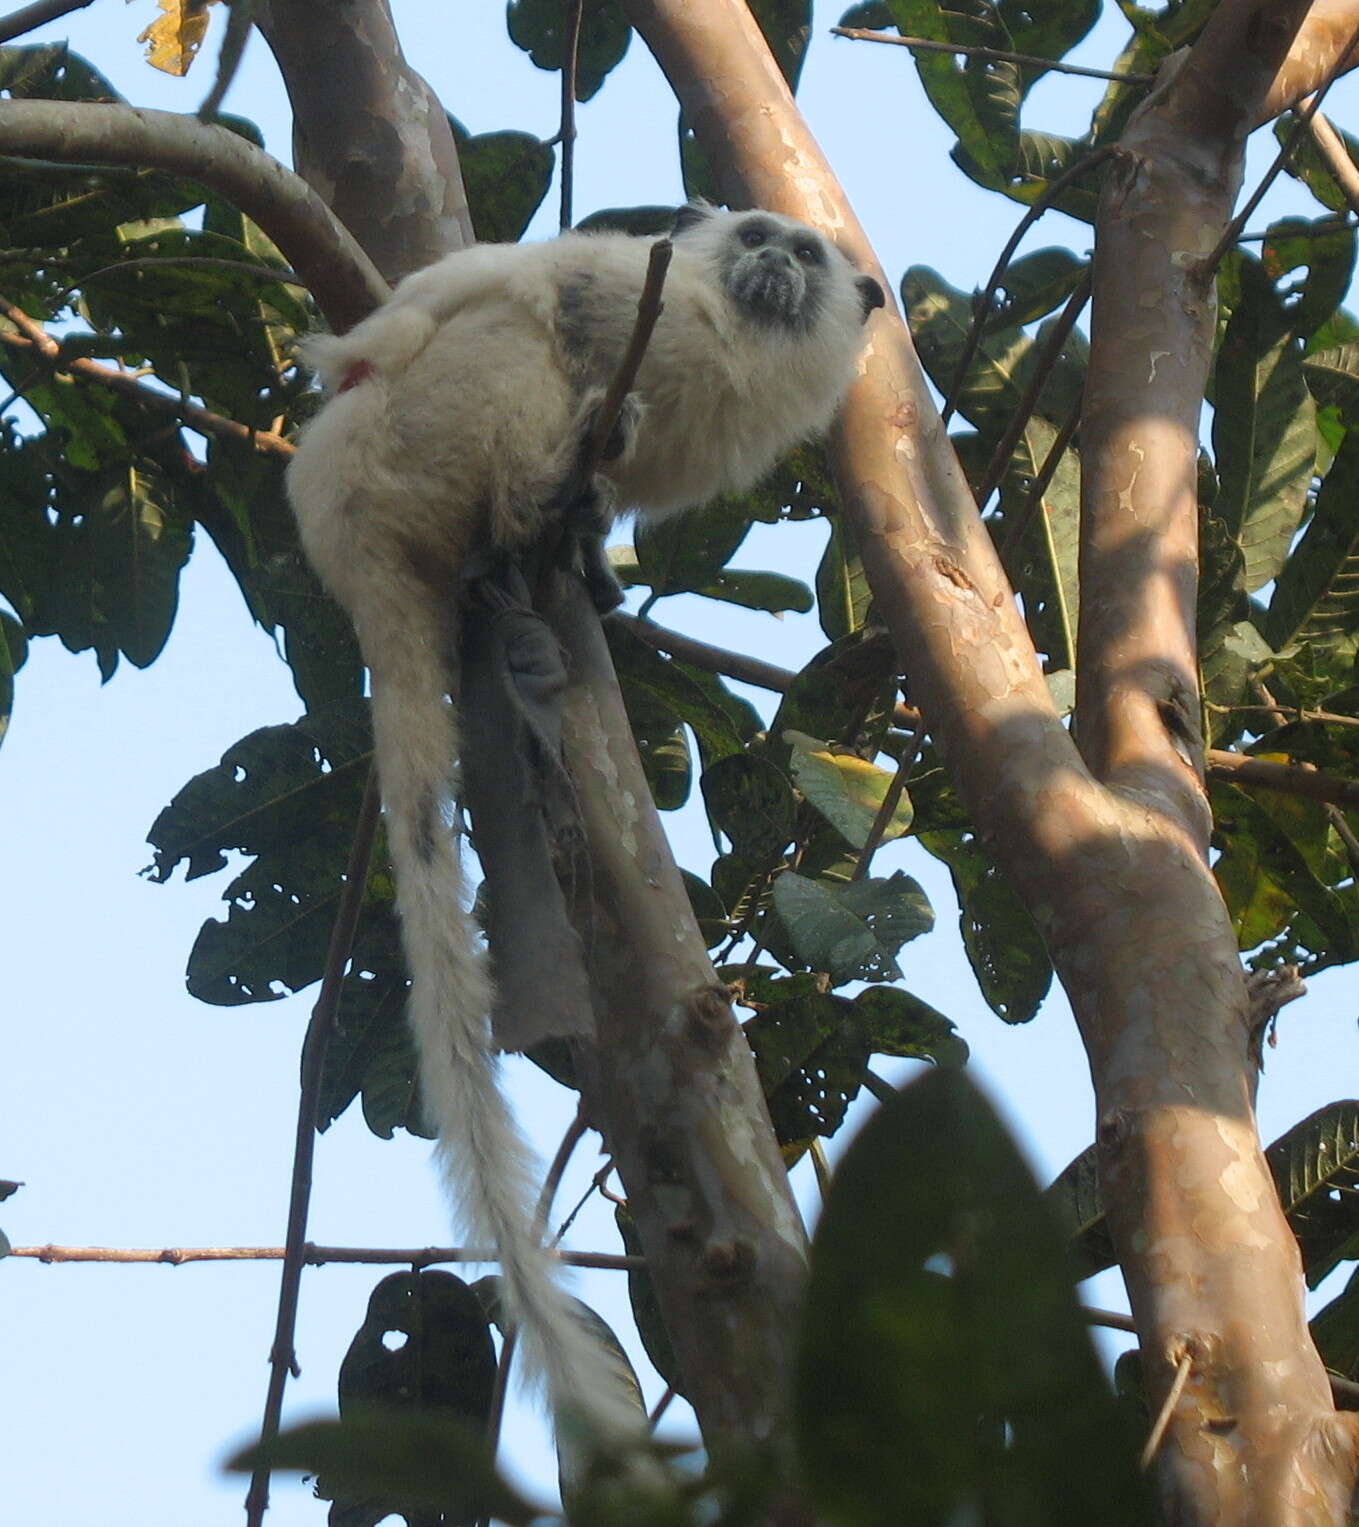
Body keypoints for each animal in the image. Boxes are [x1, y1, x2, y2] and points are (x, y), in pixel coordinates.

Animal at [285, 200, 885, 1429]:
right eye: (756, 235)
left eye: (802, 255)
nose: (768, 261)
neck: (738, 350)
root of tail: (350, 540)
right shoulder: (640, 294)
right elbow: (549, 290)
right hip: (418, 428)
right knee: (512, 340)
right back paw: (543, 486)